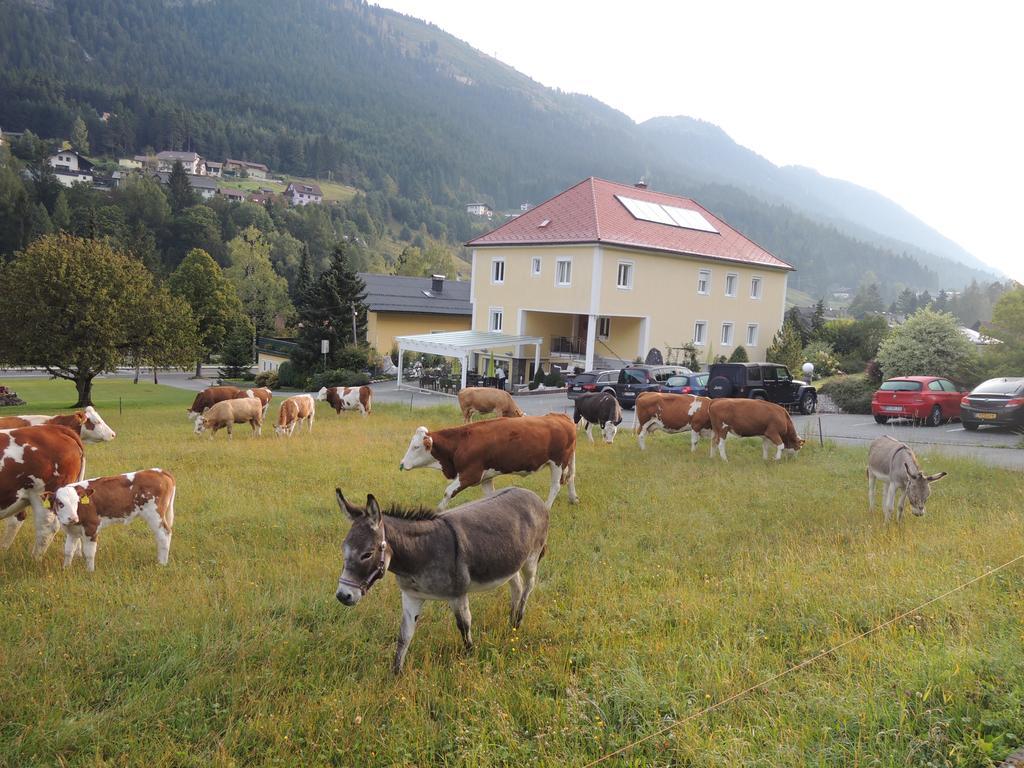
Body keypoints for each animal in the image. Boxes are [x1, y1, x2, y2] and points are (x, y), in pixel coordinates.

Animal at [42, 468, 176, 573]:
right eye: (60, 503)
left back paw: (162, 563)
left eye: (77, 502)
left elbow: (89, 552)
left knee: (164, 535)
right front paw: (65, 569)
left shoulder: (92, 527)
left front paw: (90, 572)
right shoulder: (72, 530)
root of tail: (159, 471)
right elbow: (68, 551)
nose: (73, 518)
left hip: (155, 515)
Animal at [397, 415, 581, 512]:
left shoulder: (470, 475)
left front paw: (439, 511)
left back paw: (546, 507)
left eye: (416, 446)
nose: (402, 463)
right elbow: (489, 495)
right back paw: (573, 498)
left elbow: (448, 492)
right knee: (571, 477)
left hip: (557, 463)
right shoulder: (485, 477)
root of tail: (560, 417)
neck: (461, 442)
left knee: (556, 486)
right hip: (567, 461)